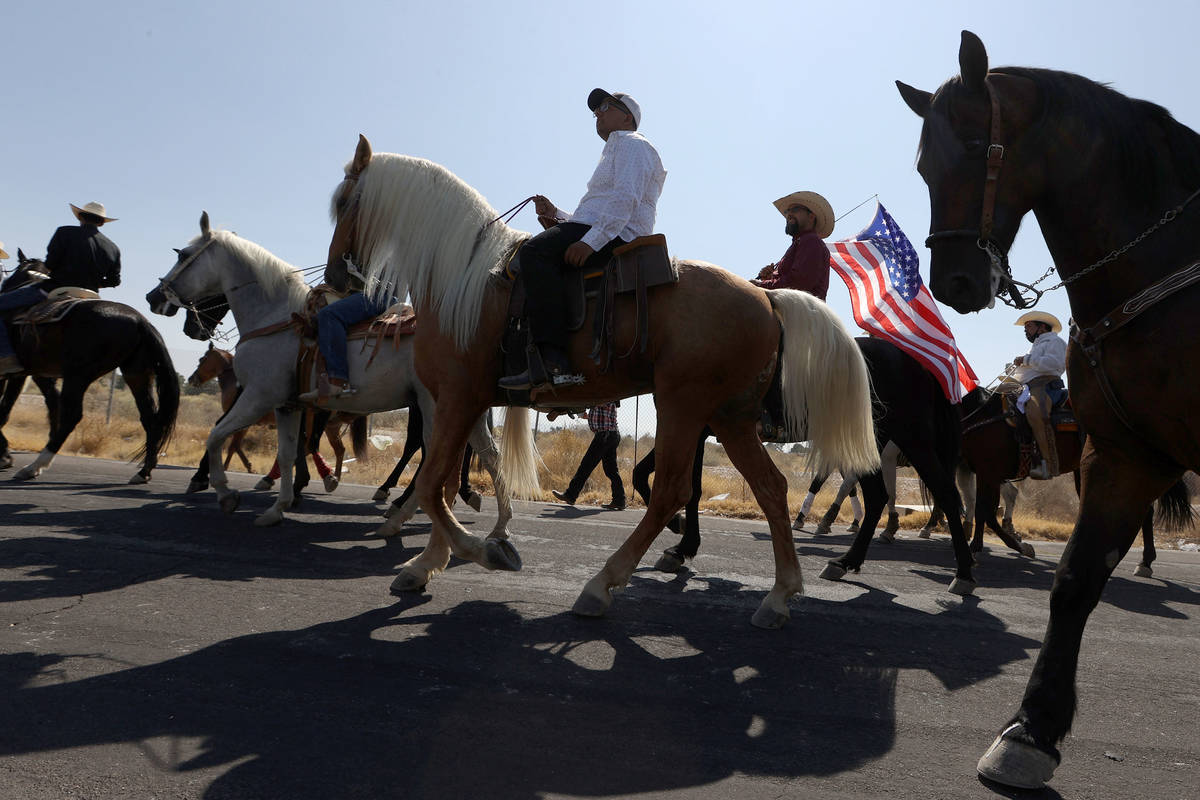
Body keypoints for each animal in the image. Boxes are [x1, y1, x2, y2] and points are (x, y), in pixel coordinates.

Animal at [0, 253, 177, 484]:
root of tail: (141, 321)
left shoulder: (16, 374)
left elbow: (3, 410)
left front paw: (5, 455)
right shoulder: (30, 374)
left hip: (78, 376)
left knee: (72, 416)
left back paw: (34, 466)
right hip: (137, 375)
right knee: (149, 417)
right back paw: (144, 472)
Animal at [147, 212, 513, 537]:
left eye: (184, 255)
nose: (154, 297)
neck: (276, 316)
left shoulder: (257, 396)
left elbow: (216, 435)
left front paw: (225, 494)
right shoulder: (287, 405)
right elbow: (286, 452)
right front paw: (277, 507)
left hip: (432, 405)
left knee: (437, 457)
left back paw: (400, 516)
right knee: (487, 454)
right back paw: (496, 524)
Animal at [324, 134, 878, 628]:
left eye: (345, 202)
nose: (336, 279)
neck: (463, 278)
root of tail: (766, 297)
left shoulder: (458, 397)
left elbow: (432, 482)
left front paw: (485, 550)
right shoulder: (462, 402)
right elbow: (441, 478)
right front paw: (425, 565)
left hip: (684, 405)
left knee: (672, 491)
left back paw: (601, 584)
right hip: (731, 417)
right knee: (769, 487)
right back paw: (779, 596)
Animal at [897, 29, 1200, 786]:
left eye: (979, 145)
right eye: (923, 166)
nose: (954, 282)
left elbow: (981, 514)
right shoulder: (1124, 454)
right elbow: (1073, 580)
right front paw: (1031, 729)